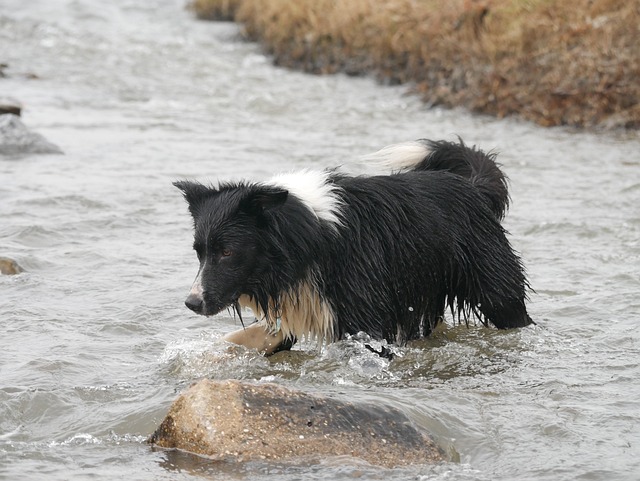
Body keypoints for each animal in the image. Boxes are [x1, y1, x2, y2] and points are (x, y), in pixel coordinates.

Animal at [174, 138, 528, 352]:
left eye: (227, 252)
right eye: (199, 252)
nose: (191, 303)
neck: (308, 236)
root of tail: (472, 187)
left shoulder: (365, 319)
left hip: (496, 291)